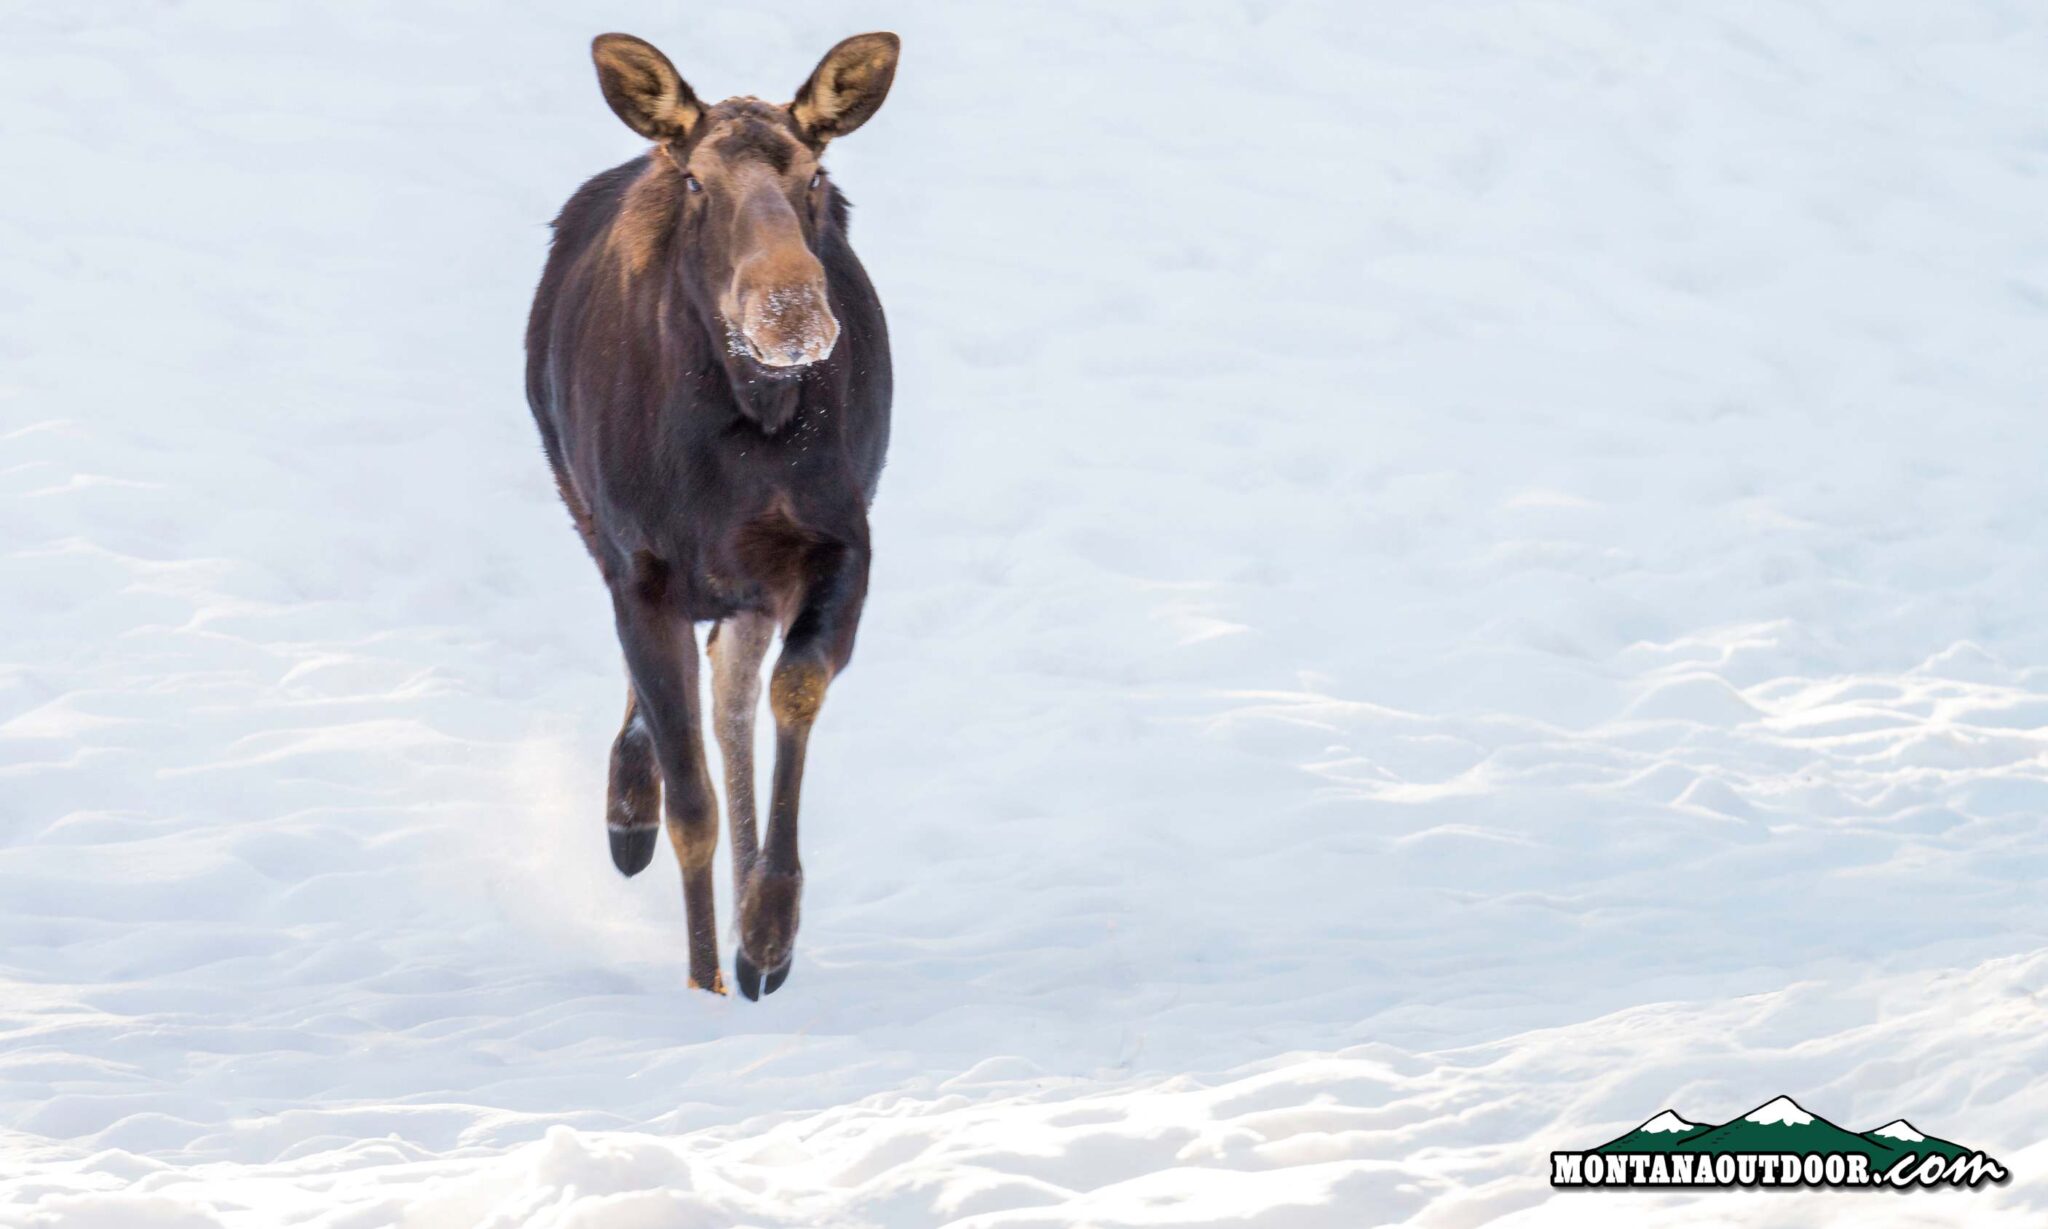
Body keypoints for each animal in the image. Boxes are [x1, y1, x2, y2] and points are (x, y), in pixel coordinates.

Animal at [532, 31, 901, 999]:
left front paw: (767, 930)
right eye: (698, 181)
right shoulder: (641, 566)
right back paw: (629, 807)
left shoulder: (840, 540)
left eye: (816, 173)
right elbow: (690, 806)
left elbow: (790, 690)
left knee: (730, 697)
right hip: (593, 517)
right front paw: (705, 984)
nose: (792, 310)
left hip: (743, 585)